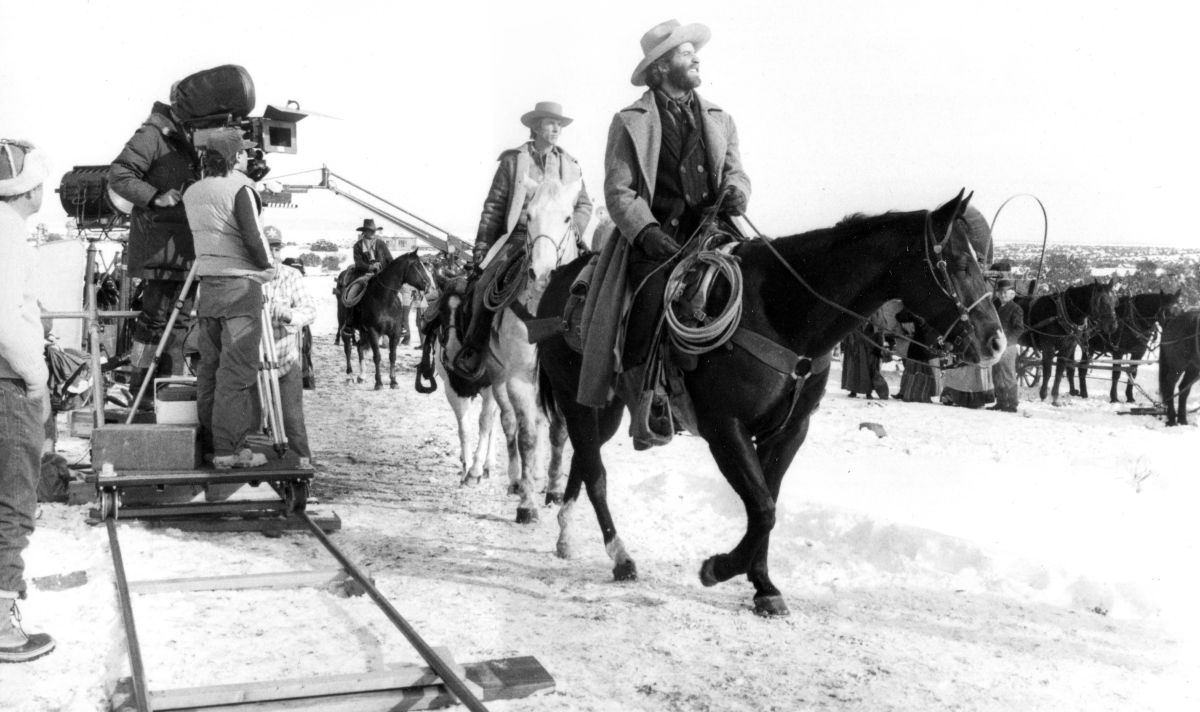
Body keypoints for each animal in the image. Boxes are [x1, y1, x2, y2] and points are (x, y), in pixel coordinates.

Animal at [345, 248, 434, 389]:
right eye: (417, 266)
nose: (429, 285)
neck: (384, 299)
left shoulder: (395, 332)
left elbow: (392, 356)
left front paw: (393, 381)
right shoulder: (373, 332)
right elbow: (377, 356)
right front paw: (379, 382)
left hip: (364, 332)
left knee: (360, 347)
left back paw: (362, 376)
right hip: (348, 328)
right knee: (348, 349)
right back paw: (349, 375)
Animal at [535, 189, 1003, 614]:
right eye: (960, 265)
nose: (996, 342)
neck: (782, 313)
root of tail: (557, 283)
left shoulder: (789, 430)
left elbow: (768, 503)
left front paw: (762, 584)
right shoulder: (725, 428)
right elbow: (762, 509)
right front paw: (719, 568)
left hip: (607, 406)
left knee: (585, 459)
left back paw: (566, 536)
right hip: (577, 400)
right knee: (596, 474)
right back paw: (619, 555)